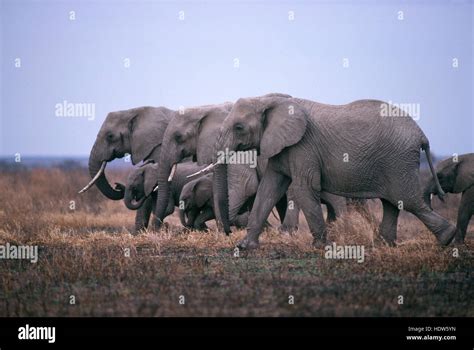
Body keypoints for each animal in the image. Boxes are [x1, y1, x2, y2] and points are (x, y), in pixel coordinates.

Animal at [211, 94, 456, 250]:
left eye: (239, 127)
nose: (228, 233)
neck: (267, 99)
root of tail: (422, 135)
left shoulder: (304, 146)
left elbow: (304, 187)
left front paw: (321, 247)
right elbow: (269, 189)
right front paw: (244, 247)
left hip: (398, 161)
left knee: (408, 200)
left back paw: (447, 238)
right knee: (393, 203)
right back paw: (382, 245)